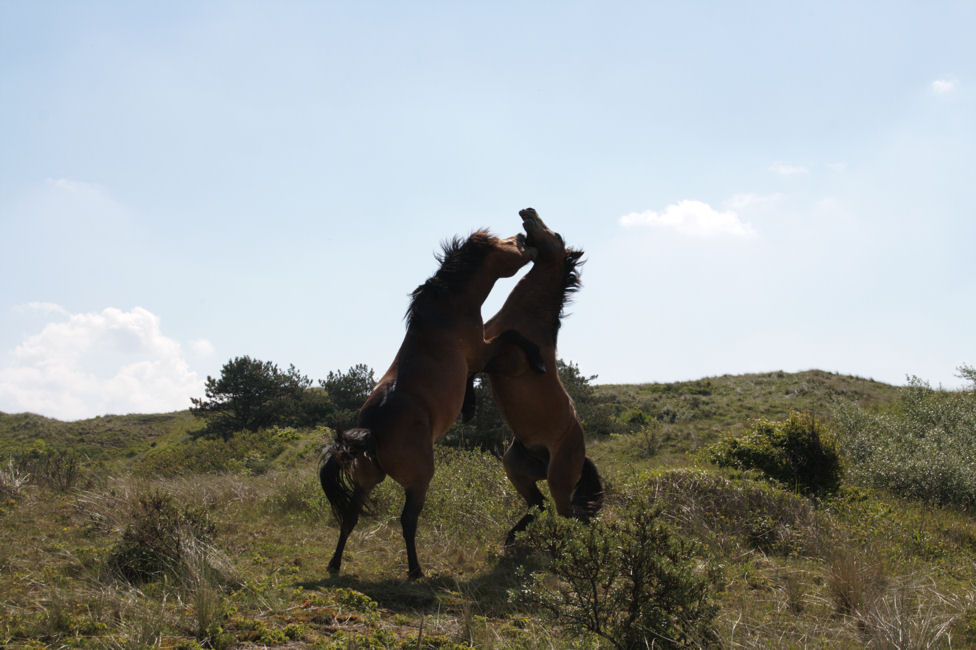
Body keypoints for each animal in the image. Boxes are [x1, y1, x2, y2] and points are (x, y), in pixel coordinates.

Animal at [324, 229, 544, 576]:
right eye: (508, 243)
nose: (524, 237)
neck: (447, 310)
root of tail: (371, 430)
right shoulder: (481, 350)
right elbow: (512, 336)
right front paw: (537, 358)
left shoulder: (475, 358)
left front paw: (469, 407)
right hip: (418, 481)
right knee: (407, 520)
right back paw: (416, 570)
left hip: (366, 481)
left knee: (349, 517)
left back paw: (334, 564)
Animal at [482, 208, 600, 540]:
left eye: (556, 235)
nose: (528, 211)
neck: (527, 319)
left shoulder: (506, 361)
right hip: (514, 466)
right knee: (540, 504)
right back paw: (514, 536)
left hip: (559, 477)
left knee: (567, 512)